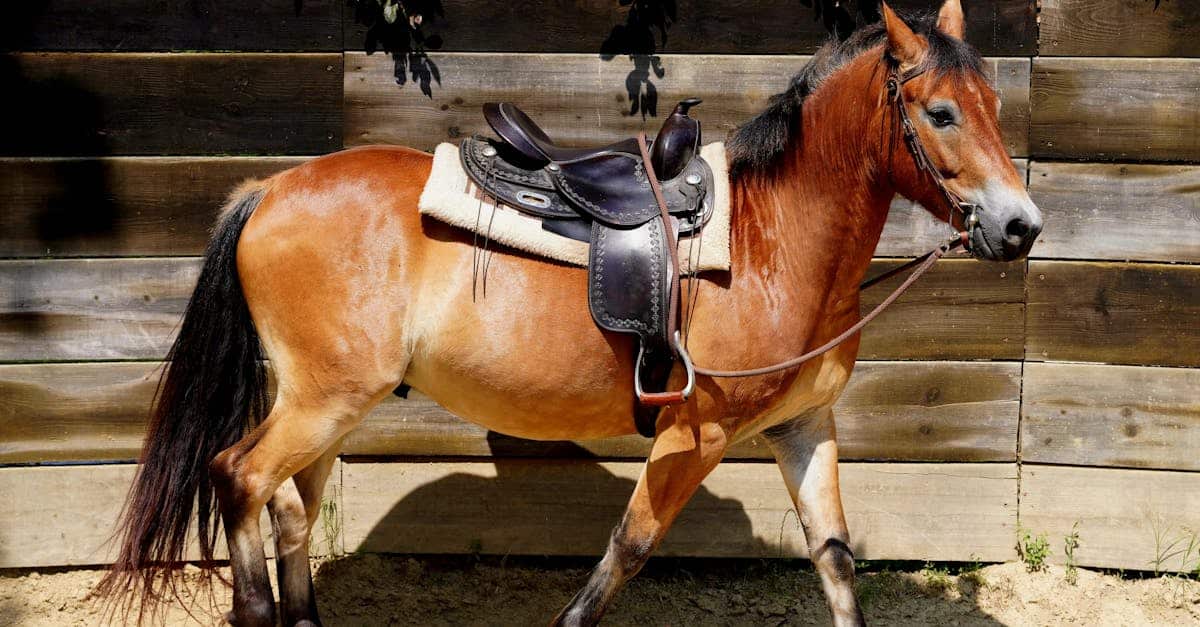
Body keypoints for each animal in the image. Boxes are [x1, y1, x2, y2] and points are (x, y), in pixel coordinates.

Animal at [98, 2, 1041, 625]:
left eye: (997, 108)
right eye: (940, 112)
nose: (1021, 226)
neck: (773, 241)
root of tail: (268, 188)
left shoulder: (803, 427)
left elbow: (837, 560)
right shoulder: (693, 434)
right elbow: (625, 551)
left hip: (326, 405)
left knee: (288, 505)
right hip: (321, 400)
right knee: (239, 476)